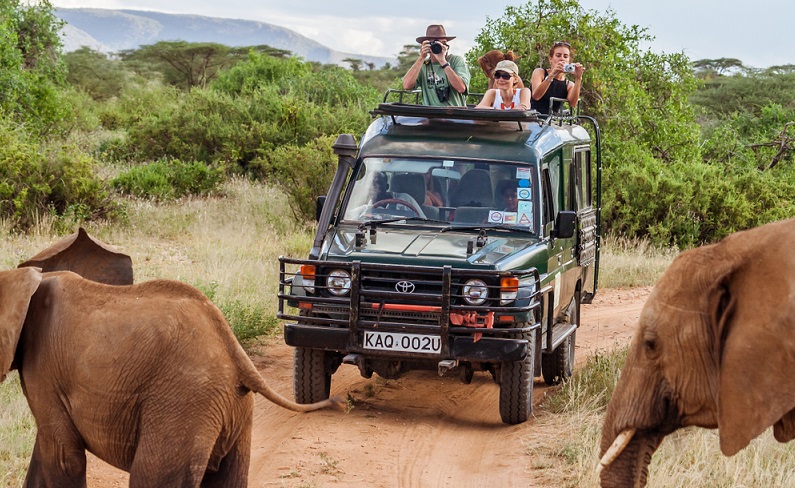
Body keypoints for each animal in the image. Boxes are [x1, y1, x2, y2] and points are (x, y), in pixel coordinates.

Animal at [3, 262, 346, 486]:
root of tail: (234, 351)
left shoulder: (45, 372)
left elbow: (63, 457)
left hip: (183, 403)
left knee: (149, 475)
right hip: (228, 409)